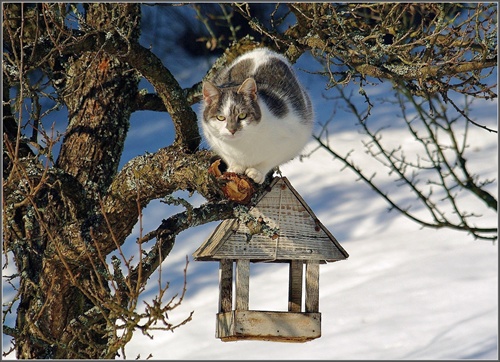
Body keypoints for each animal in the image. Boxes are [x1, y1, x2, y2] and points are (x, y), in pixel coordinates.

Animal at [200, 47, 312, 184]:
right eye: (220, 118)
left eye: (242, 115)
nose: (232, 130)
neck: (240, 146)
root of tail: (264, 50)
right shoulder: (213, 139)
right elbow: (229, 157)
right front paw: (235, 167)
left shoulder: (290, 140)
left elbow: (270, 159)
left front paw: (257, 172)